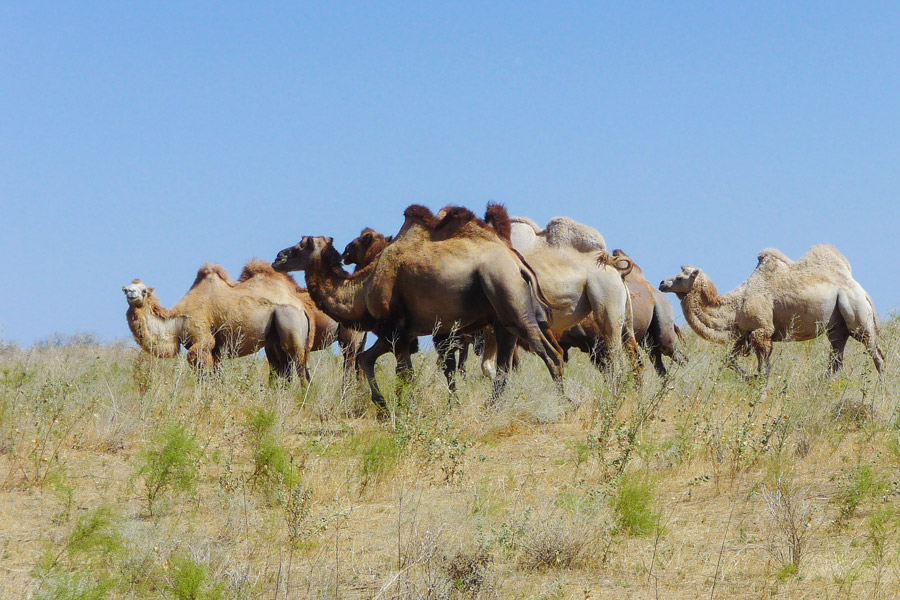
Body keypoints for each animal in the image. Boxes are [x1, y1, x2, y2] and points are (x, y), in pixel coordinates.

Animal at [274, 204, 568, 410]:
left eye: (301, 245)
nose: (278, 257)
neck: (364, 287)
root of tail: (518, 264)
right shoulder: (398, 333)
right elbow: (367, 359)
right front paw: (382, 404)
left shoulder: (395, 330)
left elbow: (404, 372)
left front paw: (407, 406)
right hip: (502, 318)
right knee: (505, 368)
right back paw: (491, 407)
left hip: (509, 297)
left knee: (551, 353)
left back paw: (566, 402)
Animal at [656, 244, 884, 376]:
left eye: (680, 277)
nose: (661, 283)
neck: (734, 306)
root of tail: (864, 293)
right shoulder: (745, 334)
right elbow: (729, 361)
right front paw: (749, 378)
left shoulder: (762, 331)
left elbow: (764, 368)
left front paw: (759, 385)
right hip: (837, 327)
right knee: (836, 359)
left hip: (856, 312)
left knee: (876, 354)